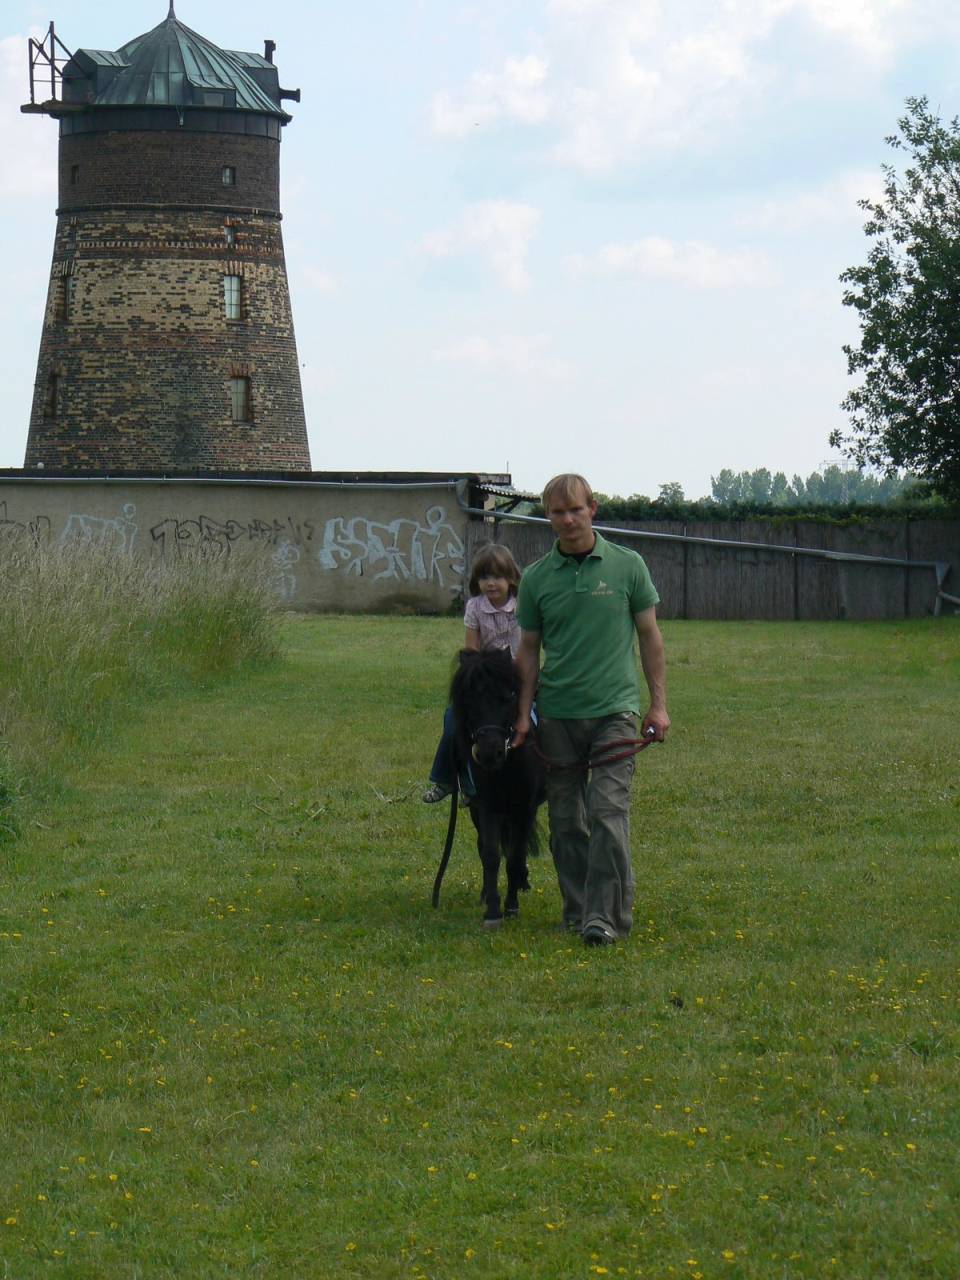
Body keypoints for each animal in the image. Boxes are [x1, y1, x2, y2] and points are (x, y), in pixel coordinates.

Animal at [448, 645, 545, 926]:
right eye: (468, 699)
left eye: (509, 697)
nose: (490, 753)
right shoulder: (486, 806)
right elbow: (490, 854)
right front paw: (492, 909)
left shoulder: (524, 809)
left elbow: (514, 857)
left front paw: (511, 906)